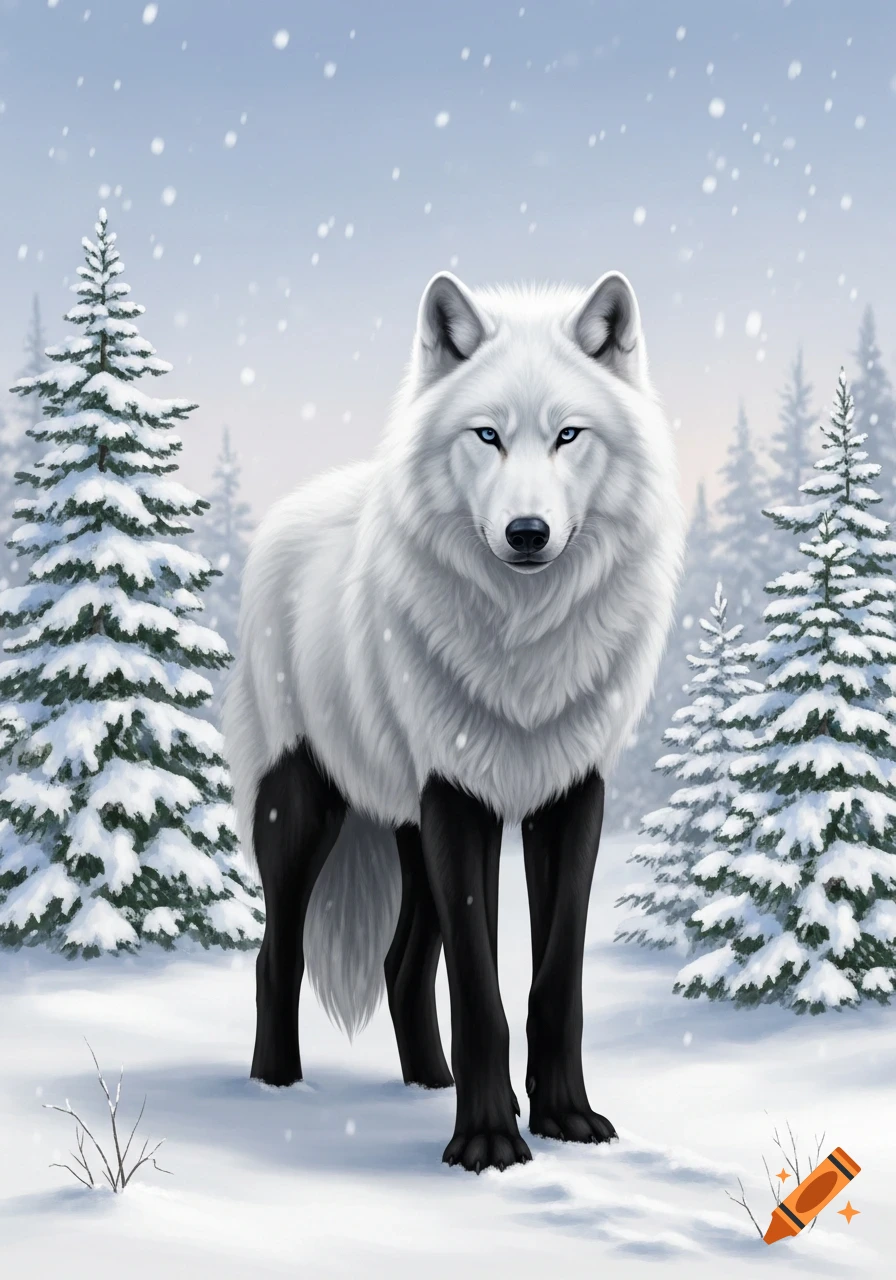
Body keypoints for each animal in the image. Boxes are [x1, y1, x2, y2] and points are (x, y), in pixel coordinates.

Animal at [224, 269, 684, 1173]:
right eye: (488, 437)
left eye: (568, 435)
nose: (527, 533)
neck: (525, 643)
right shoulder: (458, 800)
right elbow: (481, 991)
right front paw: (489, 1142)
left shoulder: (566, 797)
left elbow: (554, 983)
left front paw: (563, 1116)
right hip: (303, 810)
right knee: (273, 957)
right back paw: (275, 1091)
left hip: (409, 827)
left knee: (401, 965)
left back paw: (427, 1084)